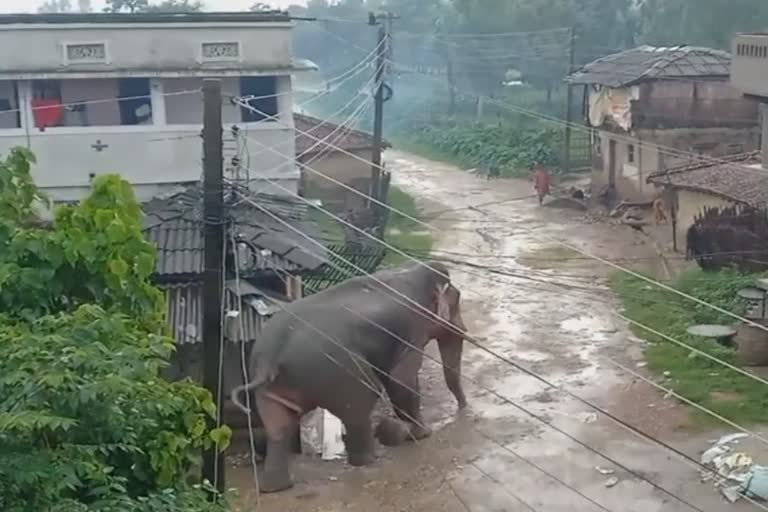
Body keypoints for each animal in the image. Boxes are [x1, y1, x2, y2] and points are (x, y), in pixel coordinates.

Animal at [231, 262, 464, 494]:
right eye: (458, 300)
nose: (464, 407)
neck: (414, 271)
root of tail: (267, 361)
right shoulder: (411, 328)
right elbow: (401, 379)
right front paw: (423, 433)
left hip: (273, 387)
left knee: (278, 427)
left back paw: (276, 487)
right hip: (338, 371)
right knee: (363, 401)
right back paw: (371, 458)